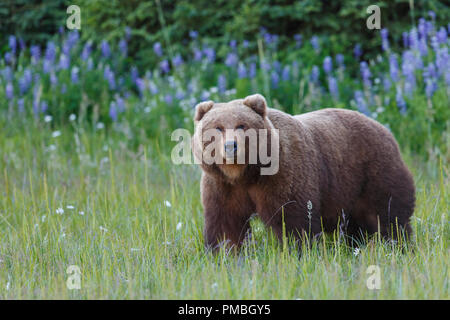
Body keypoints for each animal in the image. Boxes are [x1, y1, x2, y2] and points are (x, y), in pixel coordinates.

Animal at [192, 92, 414, 250]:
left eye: (242, 125)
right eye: (218, 127)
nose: (231, 146)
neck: (245, 174)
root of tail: (383, 128)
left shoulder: (282, 176)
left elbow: (294, 221)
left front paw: (299, 251)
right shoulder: (222, 186)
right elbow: (226, 225)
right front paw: (226, 253)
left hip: (373, 172)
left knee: (389, 214)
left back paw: (398, 246)